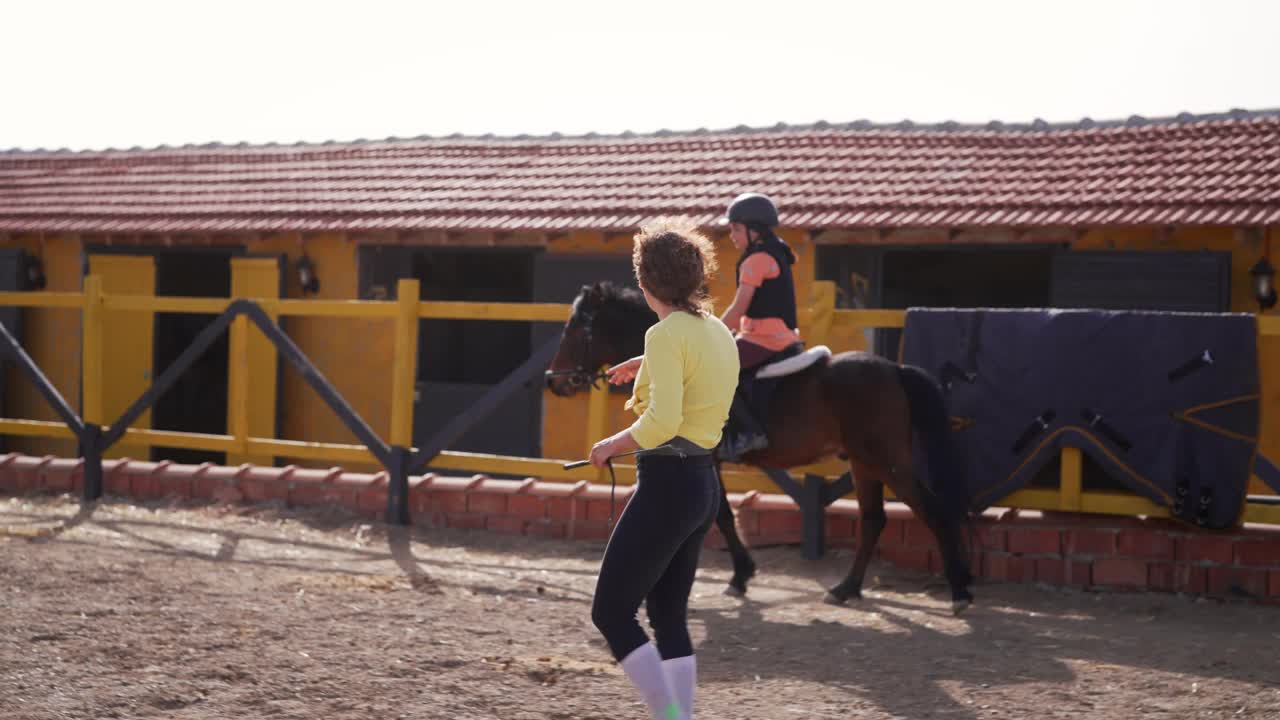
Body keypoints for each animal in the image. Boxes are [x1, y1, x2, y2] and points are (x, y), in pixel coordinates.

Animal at [545, 280, 972, 609]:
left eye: (577, 329)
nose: (553, 380)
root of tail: (894, 370)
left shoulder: (705, 456)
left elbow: (722, 515)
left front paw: (741, 574)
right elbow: (722, 513)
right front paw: (743, 573)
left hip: (886, 460)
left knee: (932, 510)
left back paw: (960, 591)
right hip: (864, 462)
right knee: (873, 519)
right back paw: (845, 588)